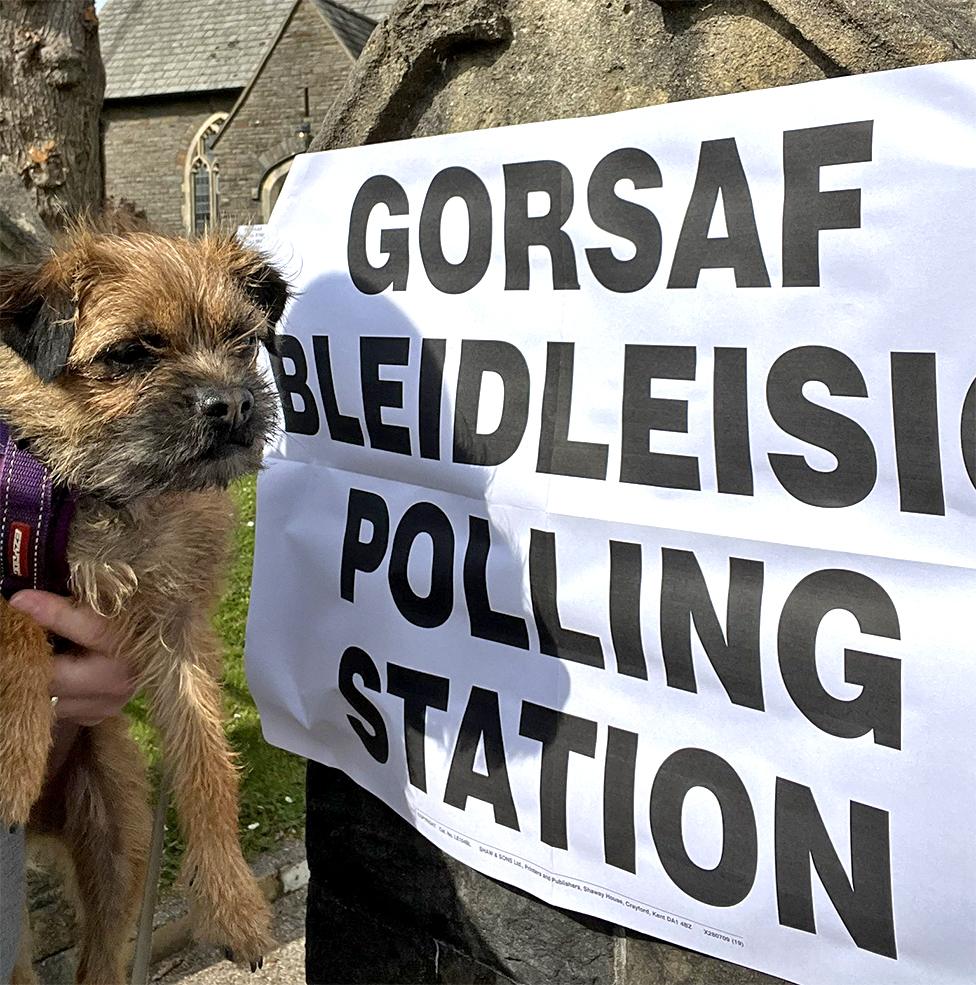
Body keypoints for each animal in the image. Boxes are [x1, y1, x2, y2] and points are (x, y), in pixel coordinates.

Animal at [0, 225, 288, 984]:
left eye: (242, 340)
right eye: (130, 352)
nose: (233, 404)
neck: (97, 492)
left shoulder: (179, 627)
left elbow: (207, 761)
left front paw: (231, 899)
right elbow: (17, 620)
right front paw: (13, 753)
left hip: (118, 834)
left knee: (101, 953)